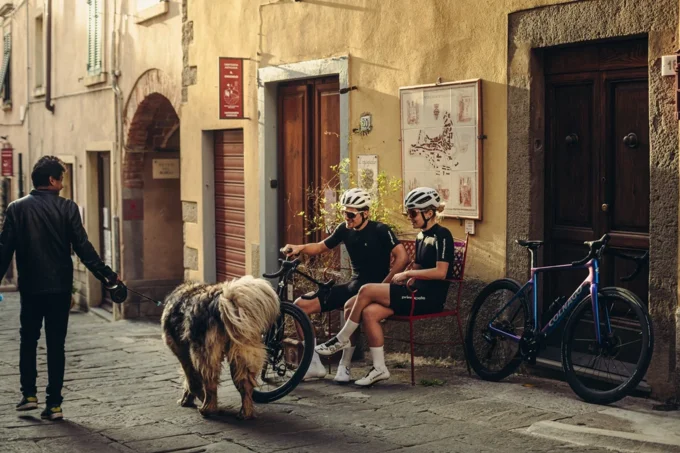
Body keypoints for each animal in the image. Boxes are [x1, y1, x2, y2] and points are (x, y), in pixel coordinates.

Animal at [162, 274, 278, 418]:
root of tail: (220, 302)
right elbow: (190, 381)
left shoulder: (183, 354)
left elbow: (191, 380)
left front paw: (188, 399)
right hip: (243, 352)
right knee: (246, 385)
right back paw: (245, 412)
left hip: (204, 354)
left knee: (210, 383)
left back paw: (207, 409)